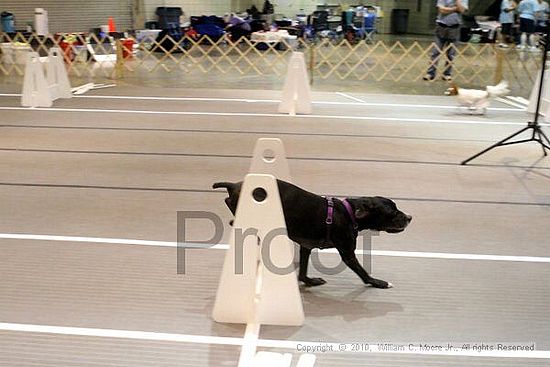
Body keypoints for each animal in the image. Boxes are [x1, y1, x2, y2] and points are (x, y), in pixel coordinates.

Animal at [213, 180, 412, 288]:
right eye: (392, 212)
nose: (410, 217)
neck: (349, 213)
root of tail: (234, 185)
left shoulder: (305, 247)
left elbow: (302, 272)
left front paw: (309, 281)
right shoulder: (347, 253)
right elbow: (363, 272)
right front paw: (378, 282)